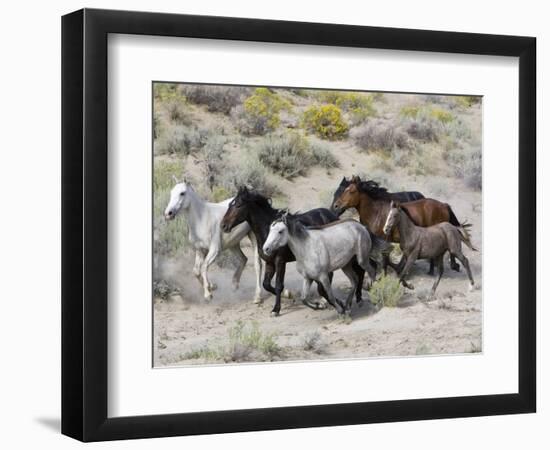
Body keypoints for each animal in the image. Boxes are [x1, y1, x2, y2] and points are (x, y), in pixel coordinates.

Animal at [220, 186, 370, 316]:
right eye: (230, 205)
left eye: (238, 205)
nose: (223, 226)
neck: (267, 231)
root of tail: (332, 214)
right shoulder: (270, 263)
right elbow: (266, 284)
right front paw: (289, 295)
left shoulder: (280, 262)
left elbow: (279, 285)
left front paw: (276, 308)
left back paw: (349, 300)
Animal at [332, 176, 470, 274]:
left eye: (351, 191)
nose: (335, 206)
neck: (375, 212)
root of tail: (444, 205)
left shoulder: (384, 240)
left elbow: (384, 261)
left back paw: (447, 267)